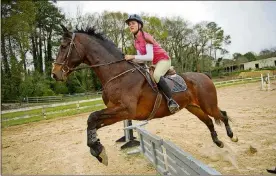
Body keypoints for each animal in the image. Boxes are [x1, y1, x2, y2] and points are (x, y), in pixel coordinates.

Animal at [51, 25, 237, 166]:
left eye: (63, 47)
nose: (54, 74)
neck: (117, 74)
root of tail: (205, 75)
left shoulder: (125, 110)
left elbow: (92, 117)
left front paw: (97, 150)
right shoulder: (116, 111)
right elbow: (93, 121)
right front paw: (97, 149)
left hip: (208, 104)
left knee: (222, 114)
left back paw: (232, 137)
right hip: (193, 107)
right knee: (209, 121)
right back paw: (218, 142)